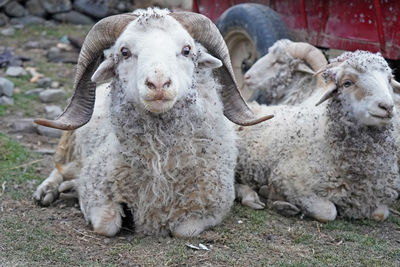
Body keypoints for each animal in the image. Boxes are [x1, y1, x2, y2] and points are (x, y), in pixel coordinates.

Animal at [32, 8, 272, 238]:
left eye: (187, 50)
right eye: (124, 52)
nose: (158, 84)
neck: (160, 166)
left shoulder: (211, 207)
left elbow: (184, 231)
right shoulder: (96, 189)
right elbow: (106, 225)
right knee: (61, 169)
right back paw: (47, 191)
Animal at [234, 51, 400, 223]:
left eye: (389, 79)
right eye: (347, 83)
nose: (387, 107)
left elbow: (380, 214)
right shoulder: (289, 181)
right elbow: (328, 212)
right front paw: (275, 197)